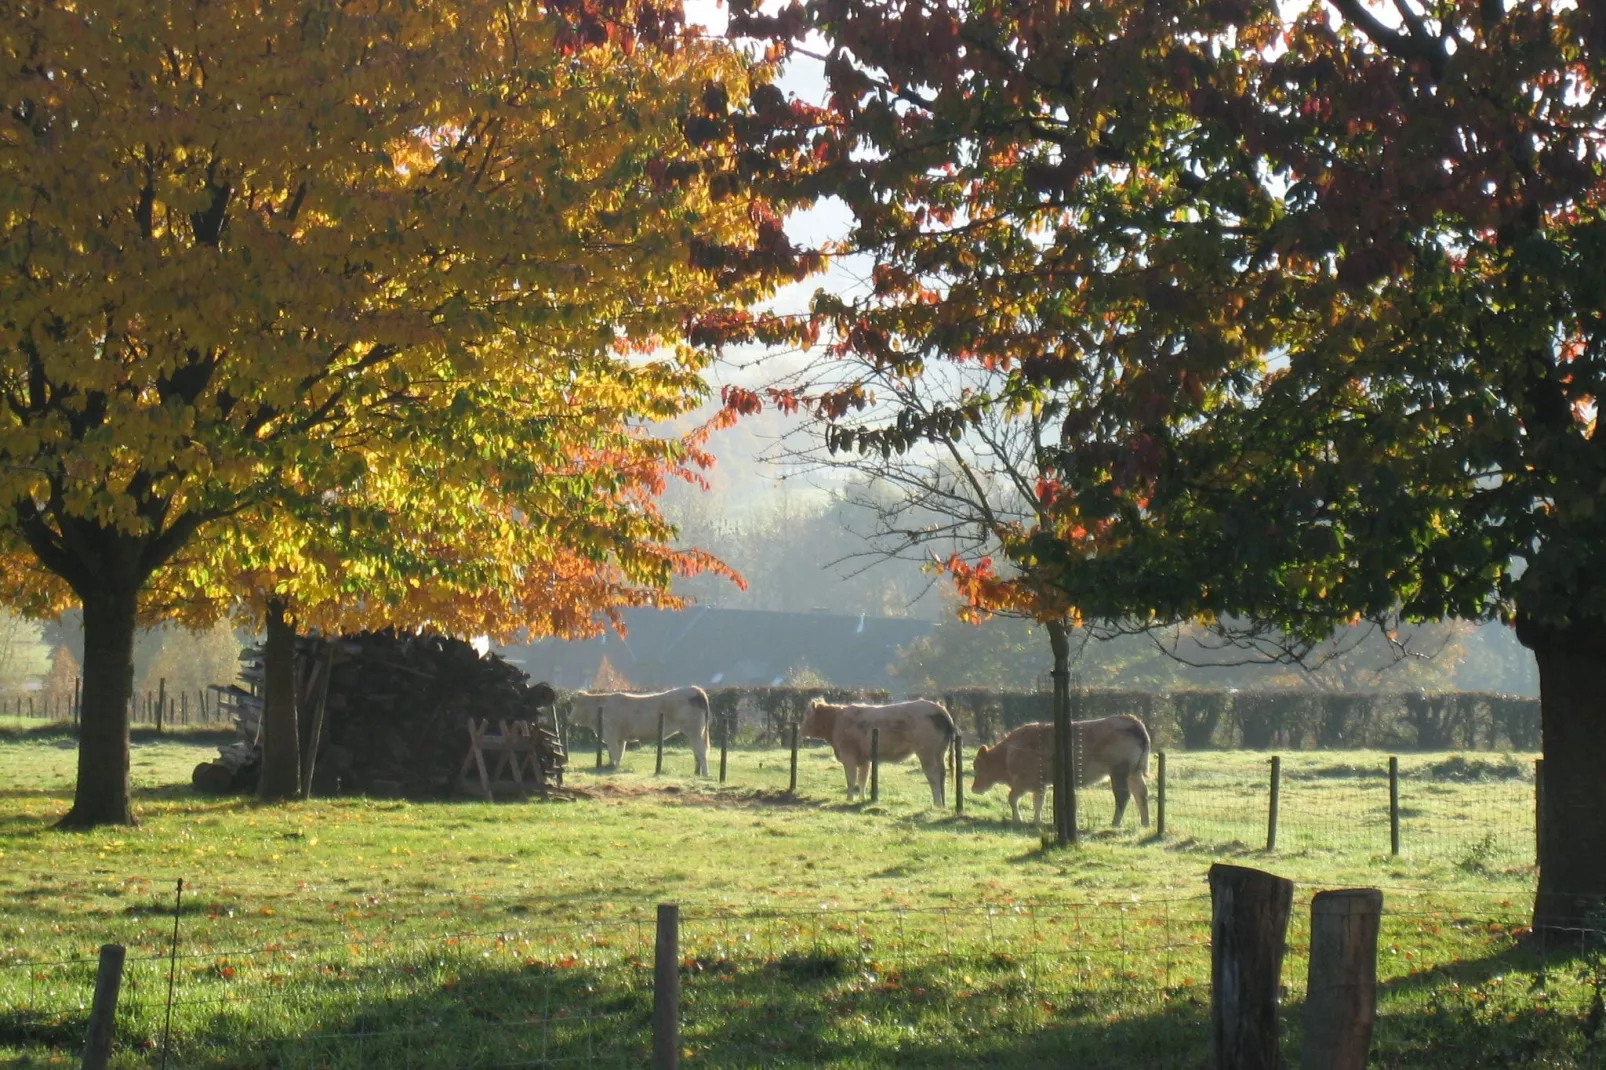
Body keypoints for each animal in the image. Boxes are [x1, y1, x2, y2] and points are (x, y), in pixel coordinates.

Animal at [571, 687, 709, 771]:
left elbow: (614, 753)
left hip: (695, 732)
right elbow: (619, 754)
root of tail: (695, 689)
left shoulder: (611, 735)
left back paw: (704, 774)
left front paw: (612, 767)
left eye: (575, 704)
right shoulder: (621, 738)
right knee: (697, 752)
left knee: (701, 751)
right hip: (696, 733)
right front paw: (616, 767)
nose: (569, 717)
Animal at [799, 697, 950, 803]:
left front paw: (849, 800)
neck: (837, 720)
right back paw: (943, 804)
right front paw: (862, 799)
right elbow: (863, 780)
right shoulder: (865, 759)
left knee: (933, 776)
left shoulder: (849, 757)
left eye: (806, 715)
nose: (801, 730)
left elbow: (851, 780)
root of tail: (937, 707)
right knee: (942, 775)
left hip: (927, 753)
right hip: (940, 753)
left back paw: (937, 803)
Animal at [970, 716, 1149, 822]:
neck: (1010, 752)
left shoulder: (1024, 782)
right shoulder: (1040, 785)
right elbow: (1038, 803)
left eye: (977, 765)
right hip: (1134, 773)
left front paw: (1018, 820)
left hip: (1119, 772)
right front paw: (1037, 821)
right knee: (1141, 794)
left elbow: (1012, 799)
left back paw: (1115, 823)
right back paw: (1144, 824)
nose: (974, 788)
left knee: (1123, 796)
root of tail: (1130, 720)